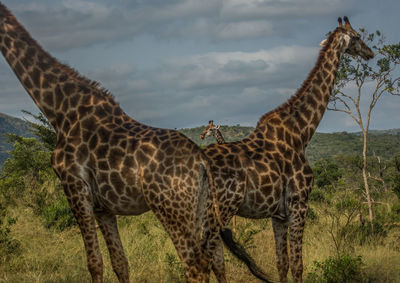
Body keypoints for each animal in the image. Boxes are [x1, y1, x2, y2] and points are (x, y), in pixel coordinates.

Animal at [0, 3, 228, 282]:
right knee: (217, 259)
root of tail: (202, 161)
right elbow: (120, 262)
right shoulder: (103, 207)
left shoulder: (75, 189)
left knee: (195, 265)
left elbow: (94, 262)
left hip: (171, 209)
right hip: (204, 209)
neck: (61, 112)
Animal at [205, 17, 374, 283]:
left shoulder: (278, 215)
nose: (370, 53)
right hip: (218, 211)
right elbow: (297, 264)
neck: (301, 133)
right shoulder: (299, 204)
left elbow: (281, 263)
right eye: (357, 36)